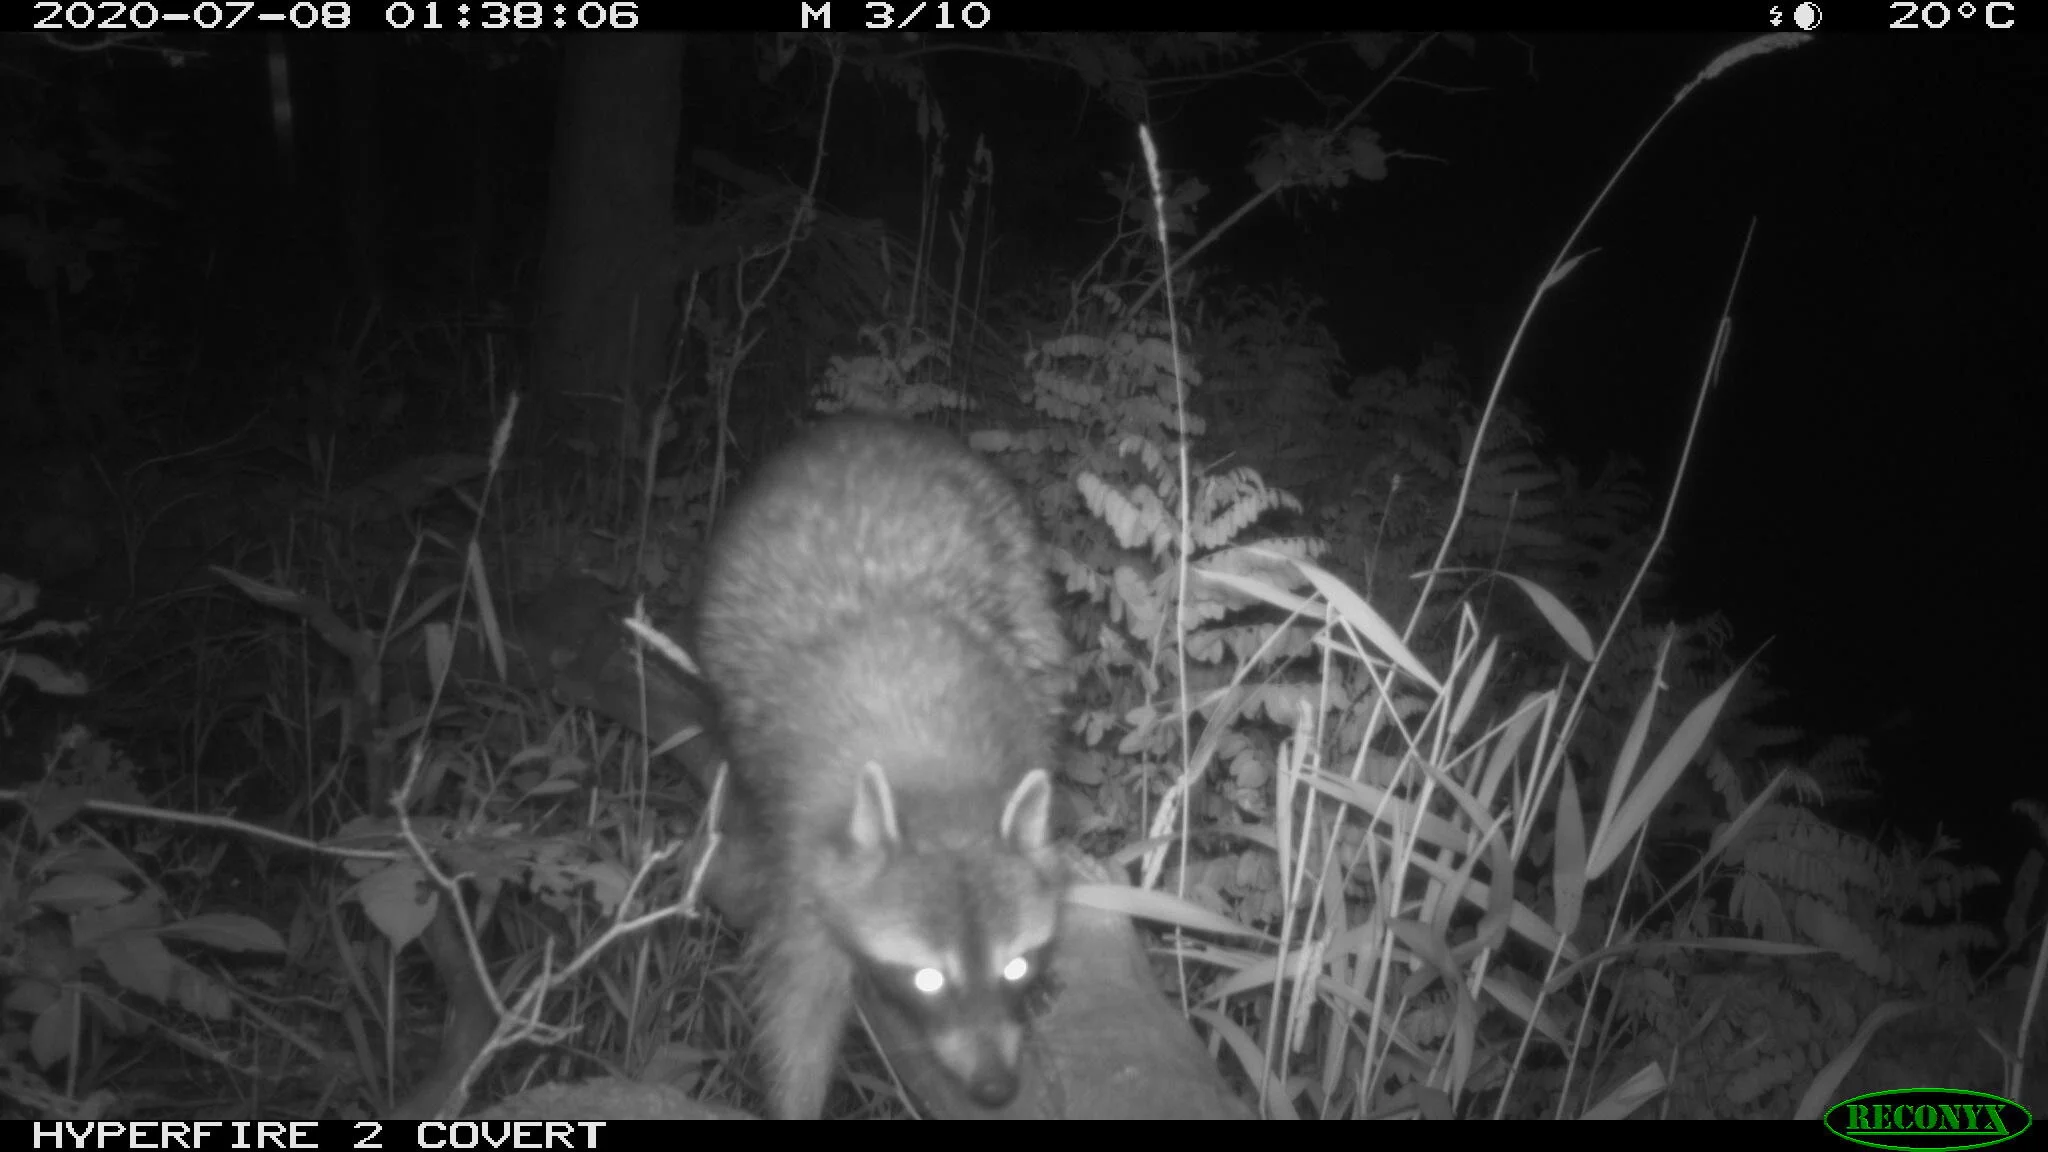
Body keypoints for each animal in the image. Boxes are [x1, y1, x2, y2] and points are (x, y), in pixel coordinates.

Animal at [693, 417, 1070, 1120]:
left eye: (1016, 967)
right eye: (927, 979)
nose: (996, 1089)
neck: (938, 777)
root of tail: (867, 425)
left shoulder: (1026, 723)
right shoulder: (809, 852)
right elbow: (799, 1004)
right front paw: (795, 1097)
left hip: (1022, 574)